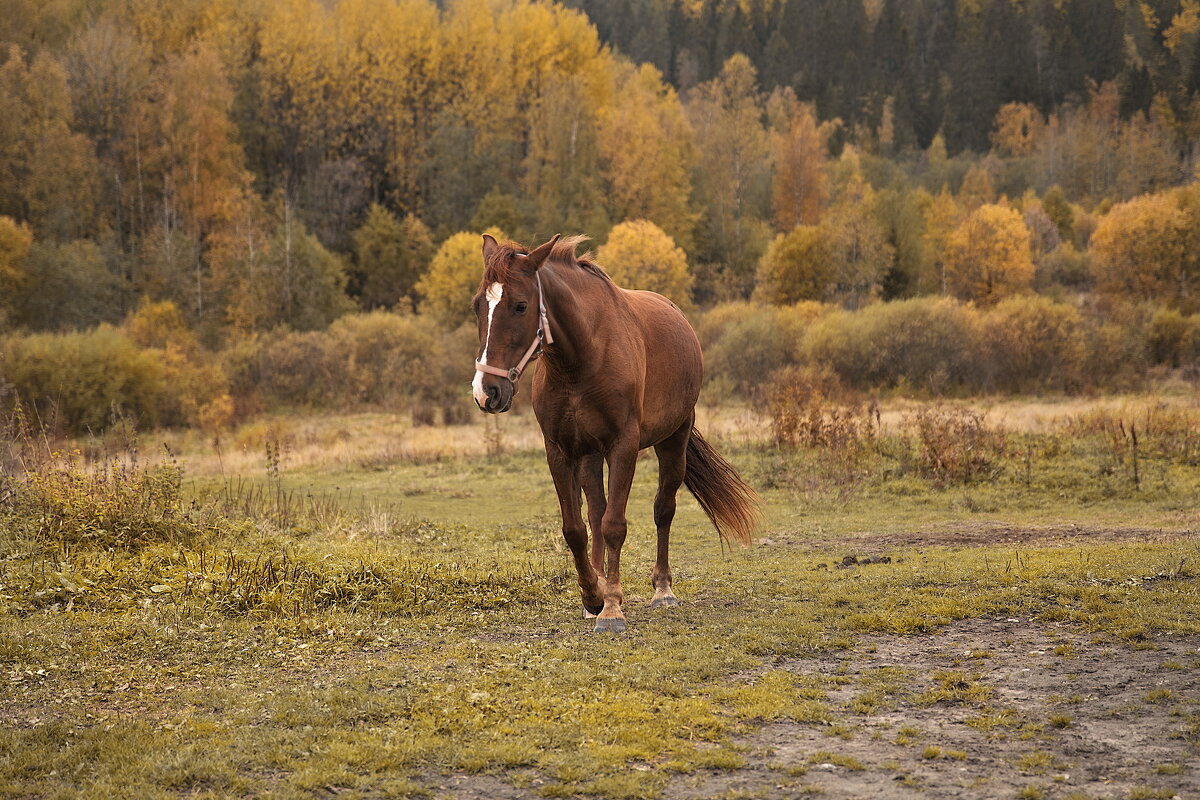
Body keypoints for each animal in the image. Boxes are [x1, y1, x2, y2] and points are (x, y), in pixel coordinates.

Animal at [470, 231, 758, 633]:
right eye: (477, 306)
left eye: (520, 306)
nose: (487, 392)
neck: (581, 360)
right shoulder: (559, 450)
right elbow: (576, 527)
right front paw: (593, 595)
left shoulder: (624, 446)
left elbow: (615, 525)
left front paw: (612, 608)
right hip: (590, 455)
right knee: (595, 512)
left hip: (674, 440)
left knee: (663, 509)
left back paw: (662, 590)